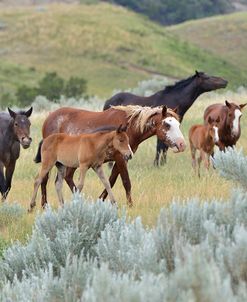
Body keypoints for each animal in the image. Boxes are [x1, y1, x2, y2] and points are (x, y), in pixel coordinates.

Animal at [37, 104, 185, 208]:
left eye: (178, 124)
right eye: (167, 124)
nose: (182, 144)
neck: (129, 127)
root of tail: (48, 119)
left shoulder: (122, 159)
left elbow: (111, 181)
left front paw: (100, 200)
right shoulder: (120, 158)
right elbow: (126, 182)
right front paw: (130, 205)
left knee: (66, 177)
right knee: (45, 179)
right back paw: (44, 205)